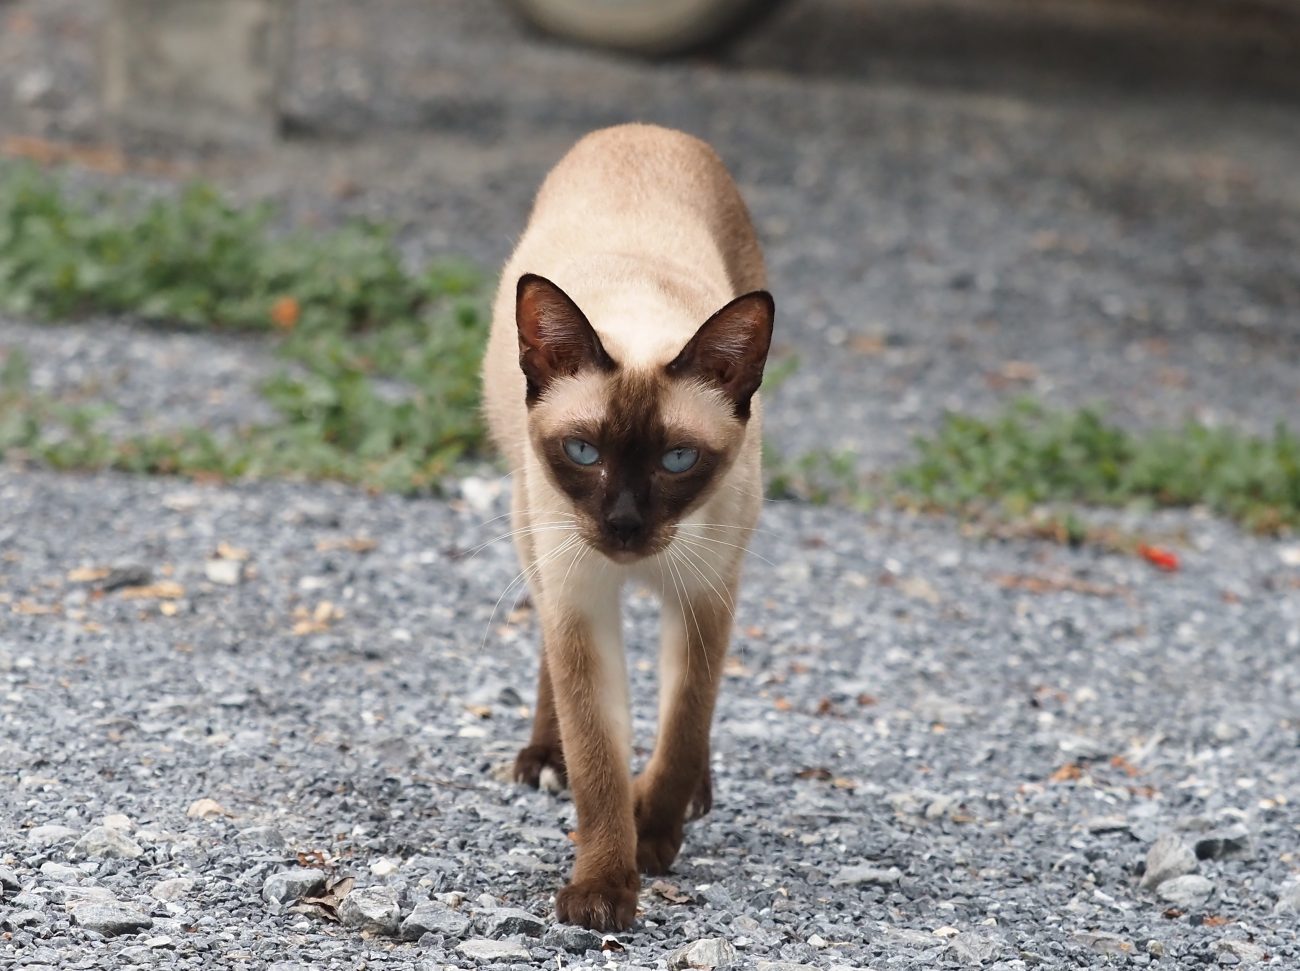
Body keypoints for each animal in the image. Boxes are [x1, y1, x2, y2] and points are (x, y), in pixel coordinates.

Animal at [483, 123, 769, 935]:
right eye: (585, 452)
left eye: (677, 460)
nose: (624, 525)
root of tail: (641, 129)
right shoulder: (581, 604)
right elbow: (599, 763)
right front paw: (604, 892)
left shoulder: (705, 598)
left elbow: (681, 730)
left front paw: (656, 837)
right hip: (533, 534)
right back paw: (543, 760)